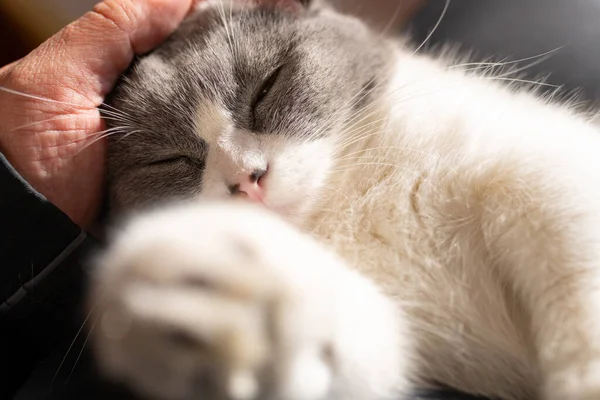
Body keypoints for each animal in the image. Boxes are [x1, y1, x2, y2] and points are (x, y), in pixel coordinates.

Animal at [86, 0, 600, 400]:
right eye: (169, 159)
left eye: (266, 87)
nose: (248, 179)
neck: (351, 201)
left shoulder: (546, 179)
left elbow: (579, 290)